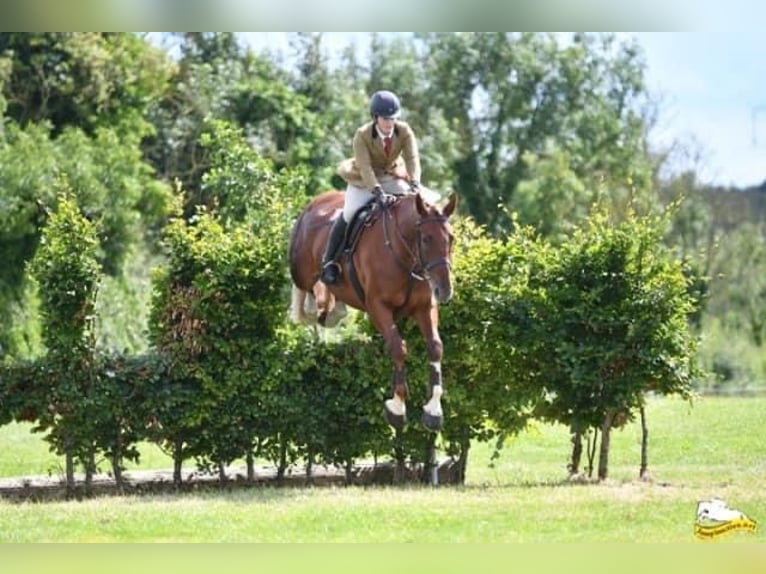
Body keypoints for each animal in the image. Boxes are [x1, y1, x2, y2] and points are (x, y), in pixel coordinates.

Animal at [288, 191, 456, 434]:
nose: (444, 290)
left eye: (451, 239)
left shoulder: (425, 307)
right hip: (301, 271)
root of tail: (317, 200)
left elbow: (435, 347)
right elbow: (398, 347)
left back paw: (332, 312)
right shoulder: (378, 307)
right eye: (426, 239)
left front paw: (433, 411)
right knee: (305, 295)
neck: (404, 255)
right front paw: (397, 408)